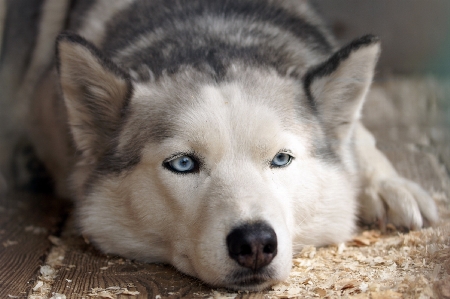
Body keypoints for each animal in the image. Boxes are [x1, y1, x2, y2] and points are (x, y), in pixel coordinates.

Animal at [0, 0, 436, 292]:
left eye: (281, 159)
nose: (256, 244)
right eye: (182, 164)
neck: (209, 35)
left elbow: (359, 136)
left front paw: (387, 185)